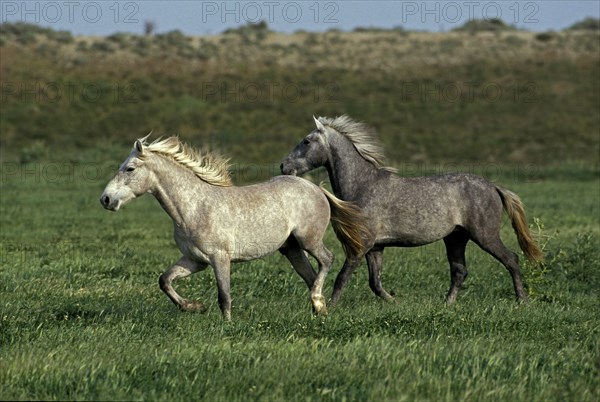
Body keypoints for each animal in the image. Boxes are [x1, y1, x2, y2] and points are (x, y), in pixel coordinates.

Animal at [101, 136, 368, 320]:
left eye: (130, 169)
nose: (105, 199)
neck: (194, 207)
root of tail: (317, 189)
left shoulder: (220, 258)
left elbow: (224, 296)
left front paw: (226, 325)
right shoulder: (194, 260)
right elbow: (164, 281)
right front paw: (193, 307)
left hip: (308, 240)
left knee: (327, 260)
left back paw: (318, 301)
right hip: (291, 249)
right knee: (311, 276)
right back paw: (318, 309)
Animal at [282, 116, 544, 304]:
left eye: (306, 141)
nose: (284, 166)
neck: (363, 185)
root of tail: (494, 187)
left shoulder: (360, 246)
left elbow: (342, 278)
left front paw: (331, 307)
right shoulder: (375, 248)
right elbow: (375, 283)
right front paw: (395, 302)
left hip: (484, 236)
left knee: (511, 259)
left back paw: (522, 300)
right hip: (455, 238)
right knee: (459, 271)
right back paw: (447, 305)